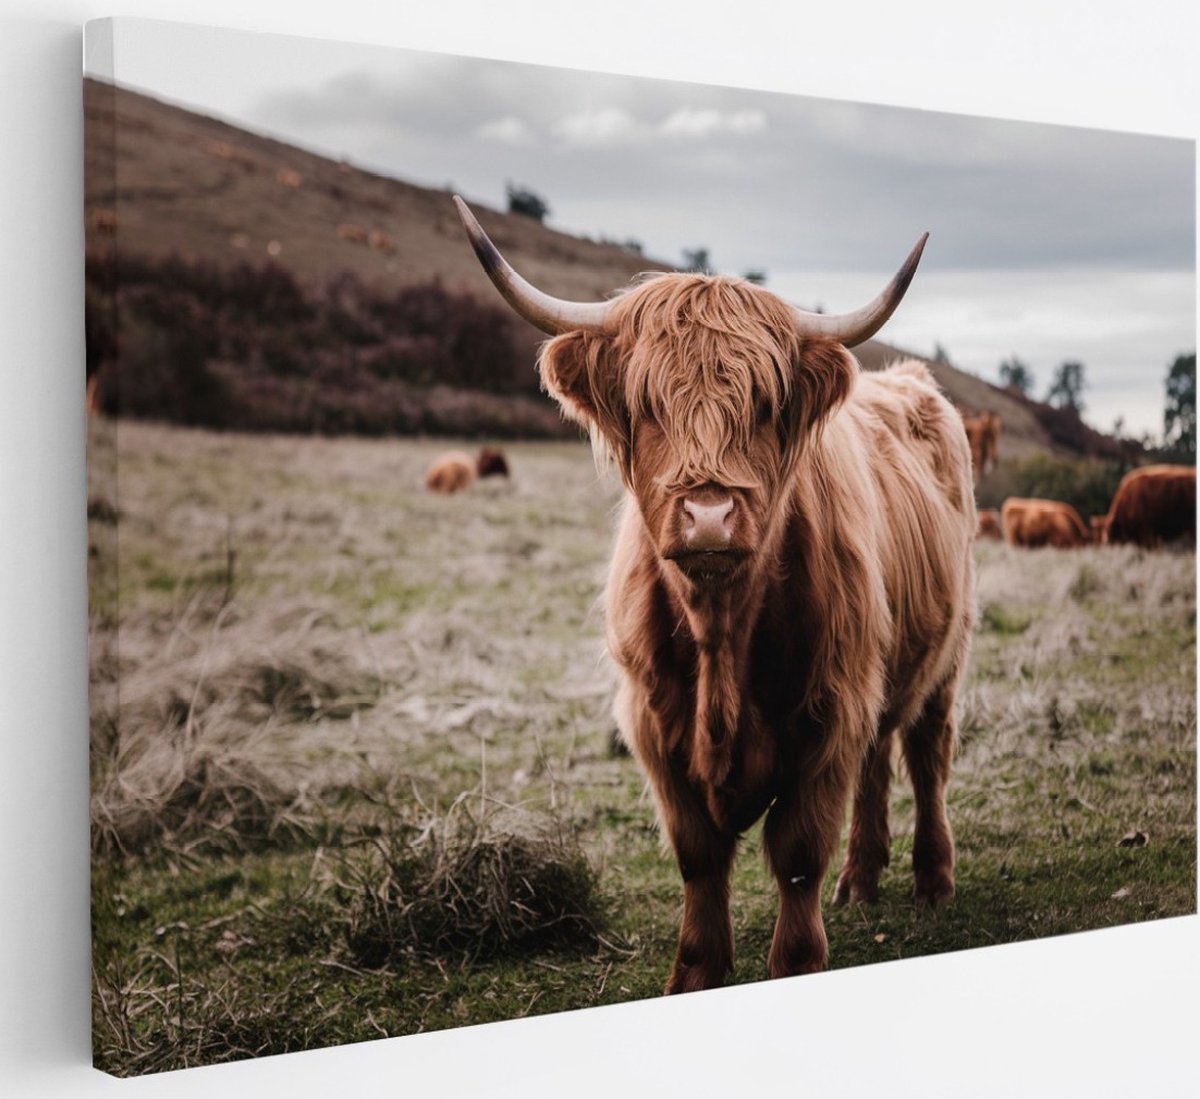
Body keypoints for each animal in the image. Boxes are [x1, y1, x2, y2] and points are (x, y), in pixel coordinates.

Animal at [455, 196, 975, 991]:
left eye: (763, 403)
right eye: (647, 404)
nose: (707, 515)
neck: (722, 634)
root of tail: (911, 383)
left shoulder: (826, 715)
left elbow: (798, 856)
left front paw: (796, 962)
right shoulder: (655, 725)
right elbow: (699, 860)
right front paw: (695, 975)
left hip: (946, 656)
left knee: (926, 754)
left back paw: (933, 879)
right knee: (879, 758)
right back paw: (860, 881)